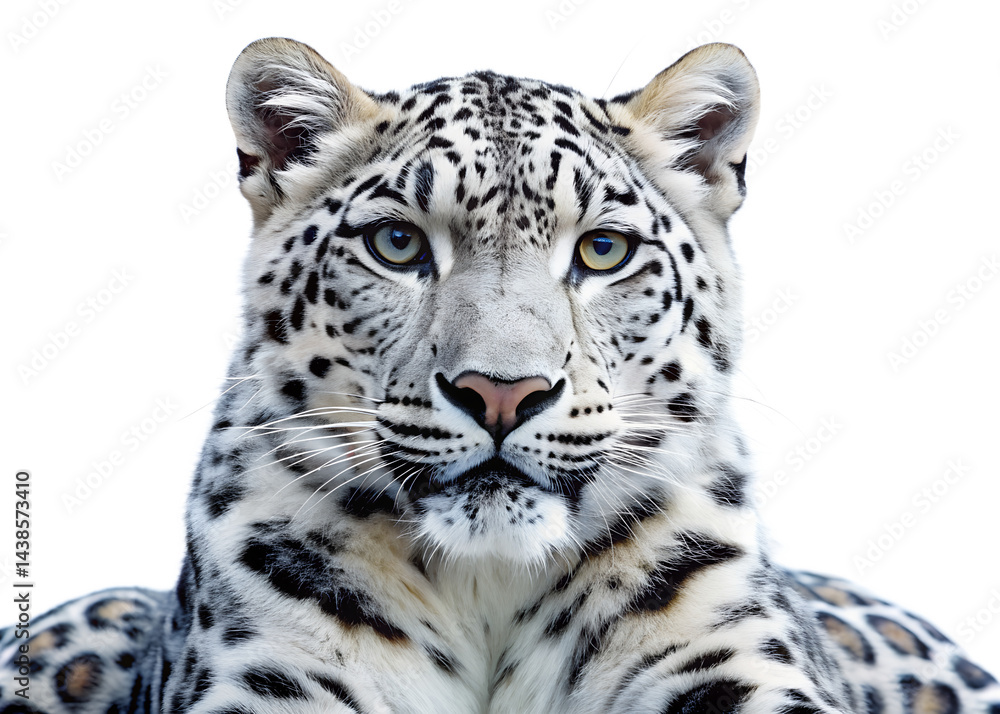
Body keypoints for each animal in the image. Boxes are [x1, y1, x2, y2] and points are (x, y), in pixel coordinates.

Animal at [2, 37, 997, 714]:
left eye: (602, 251)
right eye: (397, 243)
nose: (502, 393)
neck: (486, 588)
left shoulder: (731, 654)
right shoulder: (270, 669)